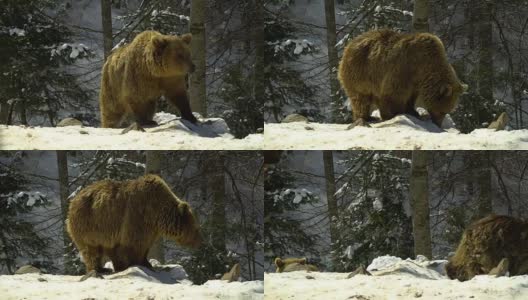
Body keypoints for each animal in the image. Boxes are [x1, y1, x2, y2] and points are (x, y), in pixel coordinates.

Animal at [64, 173, 200, 274]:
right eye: (196, 227)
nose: (200, 241)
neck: (158, 216)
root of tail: (73, 200)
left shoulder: (151, 228)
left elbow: (145, 246)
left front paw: (146, 263)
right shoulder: (138, 216)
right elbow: (135, 243)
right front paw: (135, 263)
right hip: (89, 224)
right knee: (91, 250)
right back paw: (99, 269)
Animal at [338, 29, 466, 128]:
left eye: (448, 111)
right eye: (442, 110)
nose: (438, 124)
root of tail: (350, 44)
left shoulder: (415, 81)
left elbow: (411, 96)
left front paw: (412, 111)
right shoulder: (403, 69)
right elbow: (395, 93)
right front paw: (396, 113)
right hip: (360, 72)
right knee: (360, 98)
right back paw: (366, 117)